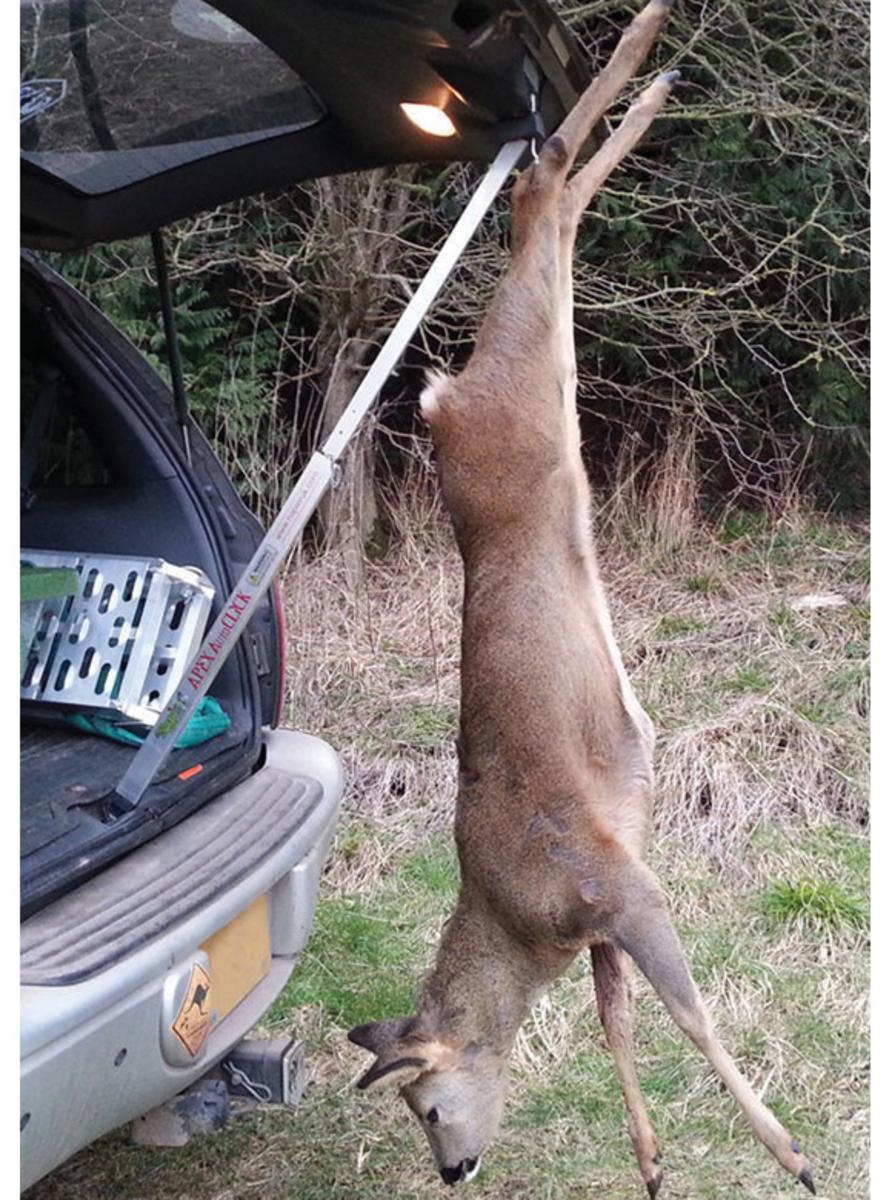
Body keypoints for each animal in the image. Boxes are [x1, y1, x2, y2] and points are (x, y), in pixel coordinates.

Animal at [348, 2, 815, 1194]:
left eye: (424, 1103)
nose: (453, 1170)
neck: (524, 925)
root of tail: (449, 398)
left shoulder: (611, 883)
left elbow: (686, 1014)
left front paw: (789, 1152)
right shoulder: (605, 910)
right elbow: (614, 1020)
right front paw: (650, 1161)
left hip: (508, 403)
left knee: (544, 170)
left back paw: (640, 53)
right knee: (554, 195)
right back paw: (657, 76)